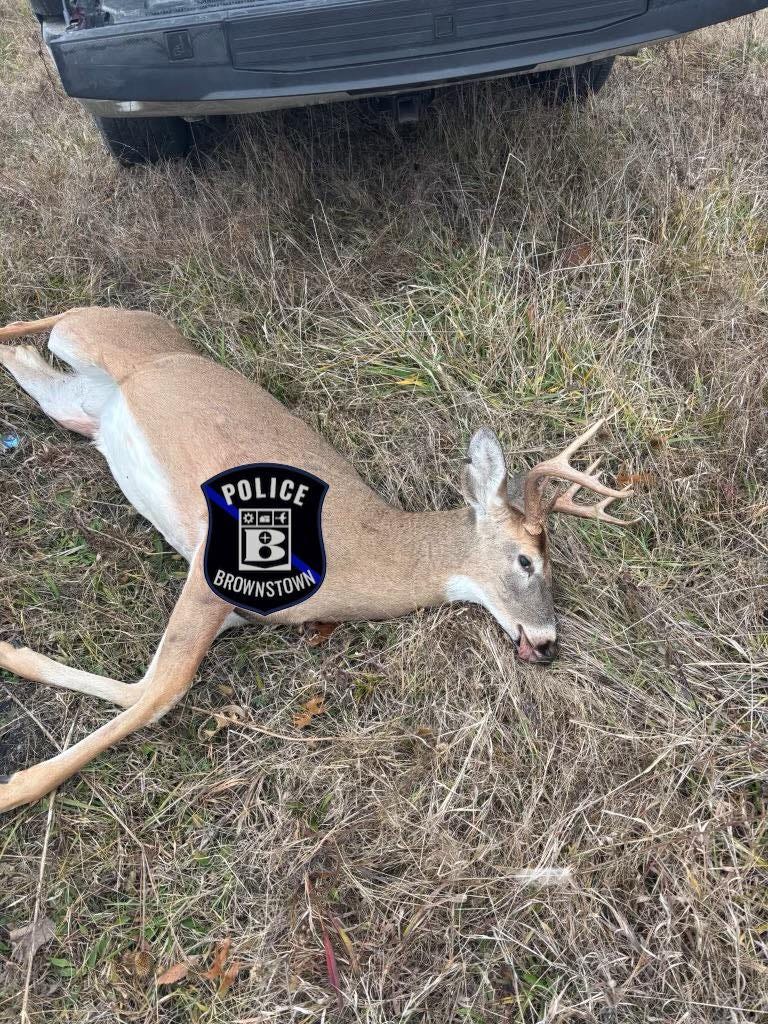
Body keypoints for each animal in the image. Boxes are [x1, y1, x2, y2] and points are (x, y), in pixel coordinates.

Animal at [0, 307, 638, 812]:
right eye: (528, 560)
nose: (548, 642)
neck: (367, 550)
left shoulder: (236, 611)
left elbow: (147, 687)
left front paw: (13, 655)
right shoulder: (215, 564)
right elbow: (162, 691)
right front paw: (15, 787)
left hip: (72, 404)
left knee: (26, 361)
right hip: (86, 334)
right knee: (49, 318)